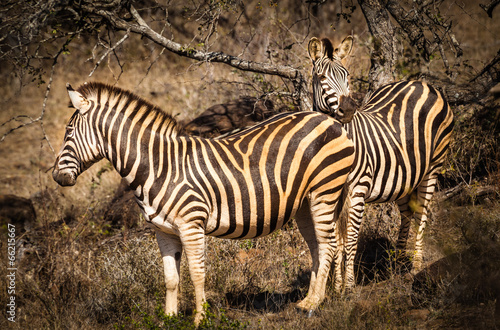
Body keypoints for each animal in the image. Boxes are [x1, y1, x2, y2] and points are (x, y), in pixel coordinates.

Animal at [51, 81, 356, 324]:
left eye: (68, 133)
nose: (56, 177)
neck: (159, 166)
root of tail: (329, 120)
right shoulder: (162, 231)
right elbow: (171, 278)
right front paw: (168, 319)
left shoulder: (191, 225)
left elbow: (197, 274)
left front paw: (200, 318)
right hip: (305, 202)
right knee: (318, 246)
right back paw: (309, 300)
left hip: (325, 191)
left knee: (329, 244)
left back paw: (314, 304)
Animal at [306, 36, 456, 292]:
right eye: (322, 77)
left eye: (346, 75)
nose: (348, 110)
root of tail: (422, 84)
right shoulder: (332, 192)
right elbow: (336, 241)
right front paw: (336, 288)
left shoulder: (358, 189)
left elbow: (351, 240)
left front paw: (349, 287)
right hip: (404, 174)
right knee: (407, 212)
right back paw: (398, 263)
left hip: (433, 167)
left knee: (422, 214)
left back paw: (416, 266)